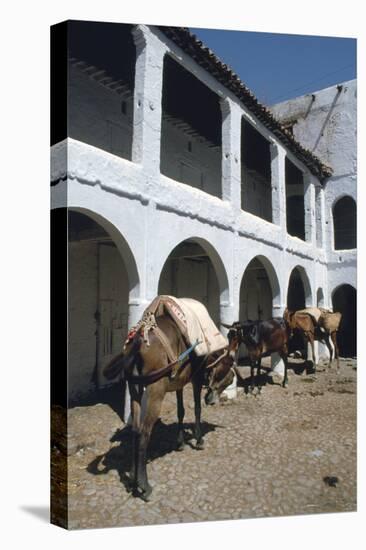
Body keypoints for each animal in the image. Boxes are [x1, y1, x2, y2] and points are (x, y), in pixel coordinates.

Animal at [103, 312, 240, 502]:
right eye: (228, 377)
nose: (212, 401)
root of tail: (139, 338)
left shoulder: (179, 383)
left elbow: (181, 411)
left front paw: (180, 442)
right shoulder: (196, 379)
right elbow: (197, 409)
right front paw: (198, 440)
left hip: (135, 388)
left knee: (136, 430)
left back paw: (132, 479)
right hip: (155, 389)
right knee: (144, 432)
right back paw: (144, 486)